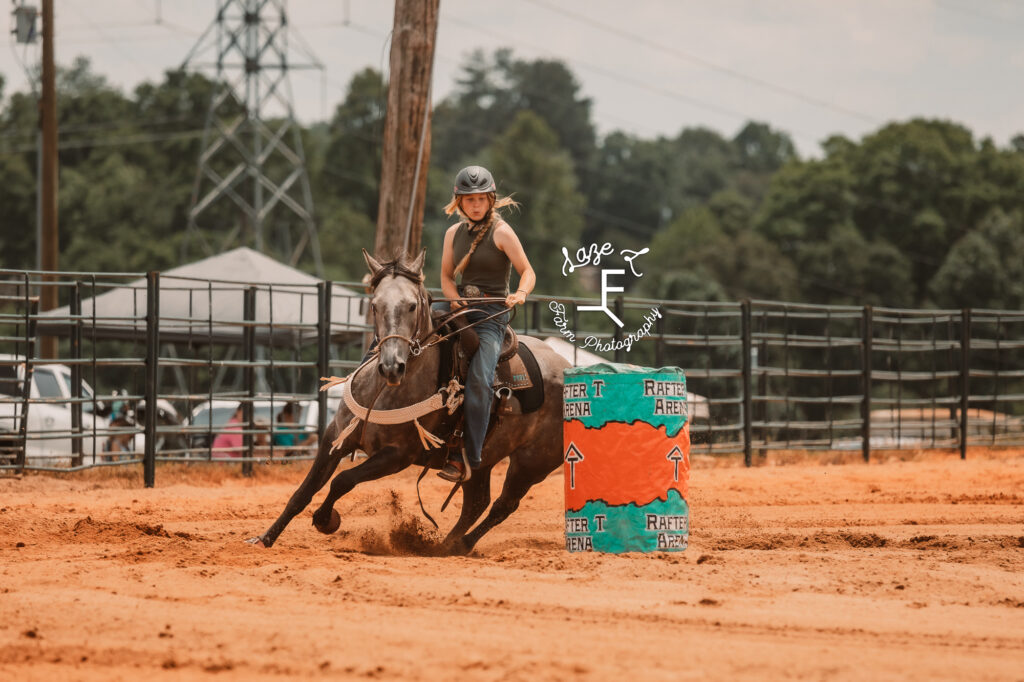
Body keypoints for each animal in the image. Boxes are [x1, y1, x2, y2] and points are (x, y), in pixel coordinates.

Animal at [247, 249, 569, 552]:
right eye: (374, 305)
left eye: (412, 305)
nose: (392, 366)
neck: (383, 392)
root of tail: (568, 366)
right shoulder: (335, 437)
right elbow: (304, 490)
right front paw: (265, 539)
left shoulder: (397, 455)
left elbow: (343, 480)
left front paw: (326, 520)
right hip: (481, 462)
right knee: (476, 502)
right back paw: (445, 545)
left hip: (532, 463)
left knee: (503, 504)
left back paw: (456, 546)